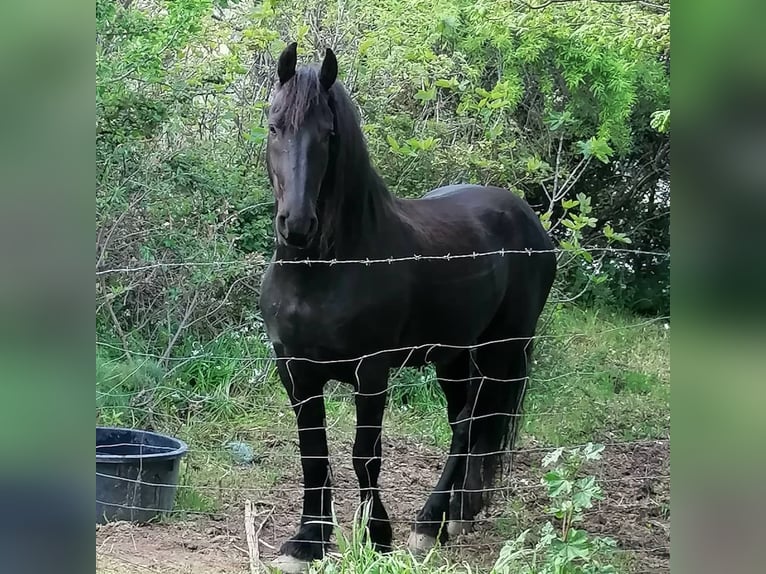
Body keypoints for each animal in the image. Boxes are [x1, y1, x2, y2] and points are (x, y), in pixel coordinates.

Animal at [258, 42, 556, 572]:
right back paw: (455, 516)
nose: (297, 225)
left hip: (501, 350)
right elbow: (313, 452)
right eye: (275, 126)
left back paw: (429, 524)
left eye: (327, 134)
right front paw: (307, 542)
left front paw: (378, 537)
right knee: (464, 422)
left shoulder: (371, 371)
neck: (323, 270)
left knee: (471, 426)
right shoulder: (295, 371)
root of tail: (530, 222)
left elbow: (365, 454)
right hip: (453, 356)